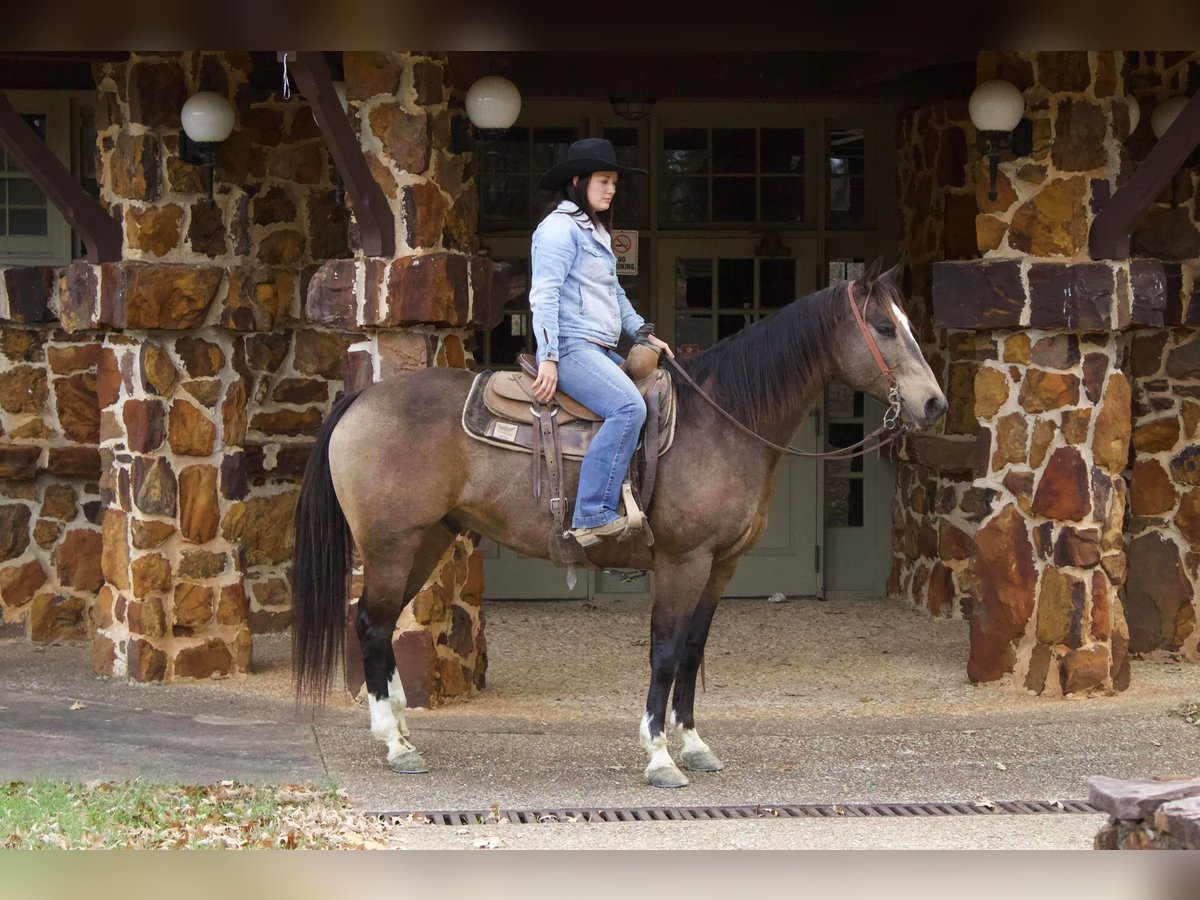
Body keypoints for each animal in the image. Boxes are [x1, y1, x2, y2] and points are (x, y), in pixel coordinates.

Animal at [290, 260, 945, 787]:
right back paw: (396, 744)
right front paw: (659, 757)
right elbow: (666, 650)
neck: (722, 420)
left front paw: (694, 745)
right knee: (372, 624)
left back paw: (401, 732)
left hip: (427, 540)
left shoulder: (721, 566)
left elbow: (693, 651)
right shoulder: (683, 562)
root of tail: (363, 399)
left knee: (377, 626)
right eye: (884, 327)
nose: (934, 404)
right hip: (390, 545)